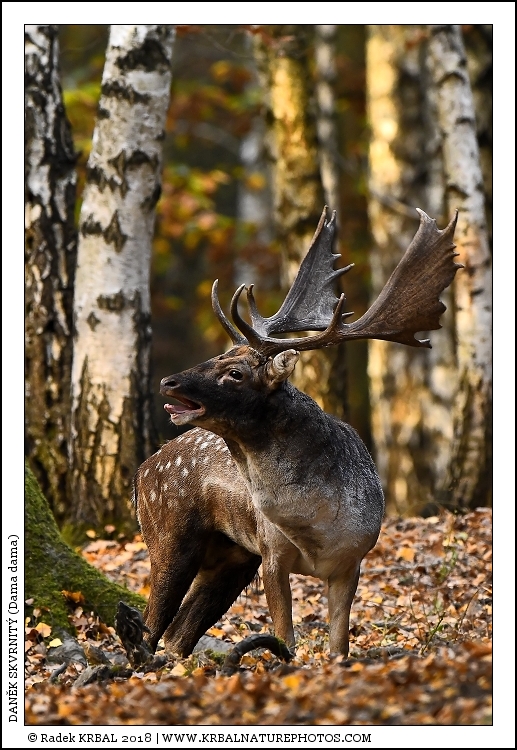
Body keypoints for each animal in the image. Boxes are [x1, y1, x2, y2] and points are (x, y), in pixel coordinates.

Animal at [133, 207, 460, 661]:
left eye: (235, 372)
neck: (316, 527)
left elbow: (339, 645)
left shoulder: (353, 560)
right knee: (152, 626)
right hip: (169, 531)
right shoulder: (272, 552)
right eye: (215, 355)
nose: (169, 382)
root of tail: (142, 470)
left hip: (232, 555)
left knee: (176, 634)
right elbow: (285, 638)